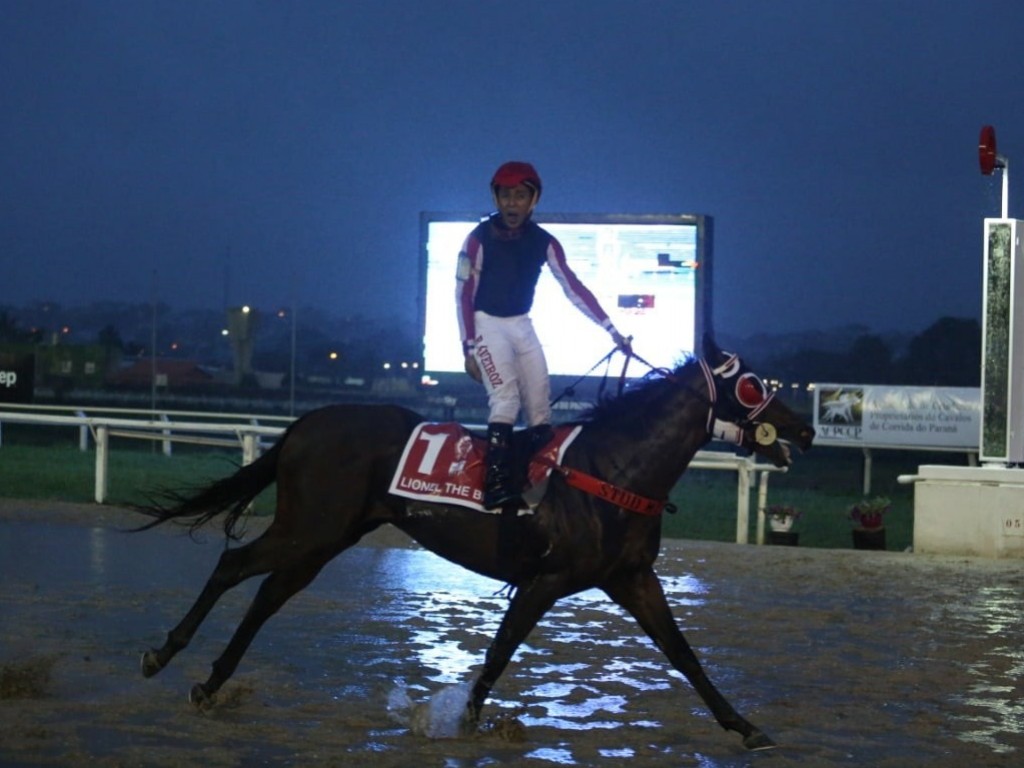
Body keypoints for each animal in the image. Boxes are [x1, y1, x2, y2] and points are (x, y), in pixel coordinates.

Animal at [132, 333, 811, 749]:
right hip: (309, 529)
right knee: (232, 564)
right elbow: (501, 651)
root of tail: (304, 424)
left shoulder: (632, 578)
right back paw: (165, 655)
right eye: (752, 385)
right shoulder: (547, 580)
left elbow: (684, 654)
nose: (803, 431)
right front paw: (462, 722)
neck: (611, 469)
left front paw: (747, 727)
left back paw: (211, 682)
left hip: (325, 538)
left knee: (268, 593)